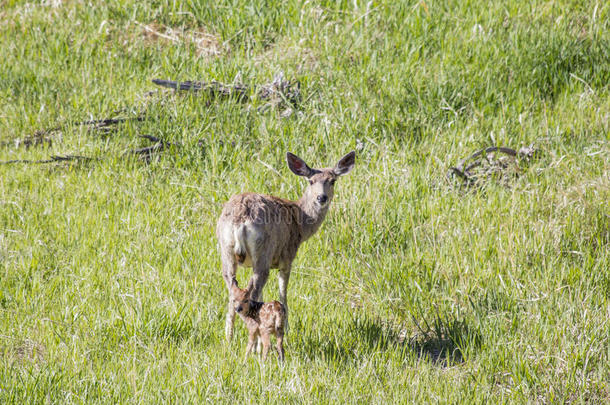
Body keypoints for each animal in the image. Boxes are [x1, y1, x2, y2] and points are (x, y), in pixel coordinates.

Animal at [217, 150, 354, 340]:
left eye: (332, 180)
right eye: (311, 181)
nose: (322, 197)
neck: (300, 222)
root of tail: (240, 219)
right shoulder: (287, 258)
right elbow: (284, 293)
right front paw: (287, 328)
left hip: (226, 250)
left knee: (233, 290)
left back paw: (228, 339)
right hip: (264, 251)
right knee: (255, 289)